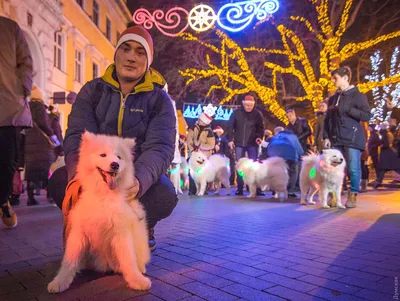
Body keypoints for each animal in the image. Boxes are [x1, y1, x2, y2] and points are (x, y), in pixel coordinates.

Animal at [48, 132, 152, 292]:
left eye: (119, 157)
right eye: (103, 155)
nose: (115, 165)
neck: (104, 195)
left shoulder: (121, 233)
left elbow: (129, 259)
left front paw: (136, 280)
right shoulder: (79, 233)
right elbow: (69, 260)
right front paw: (59, 282)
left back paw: (141, 269)